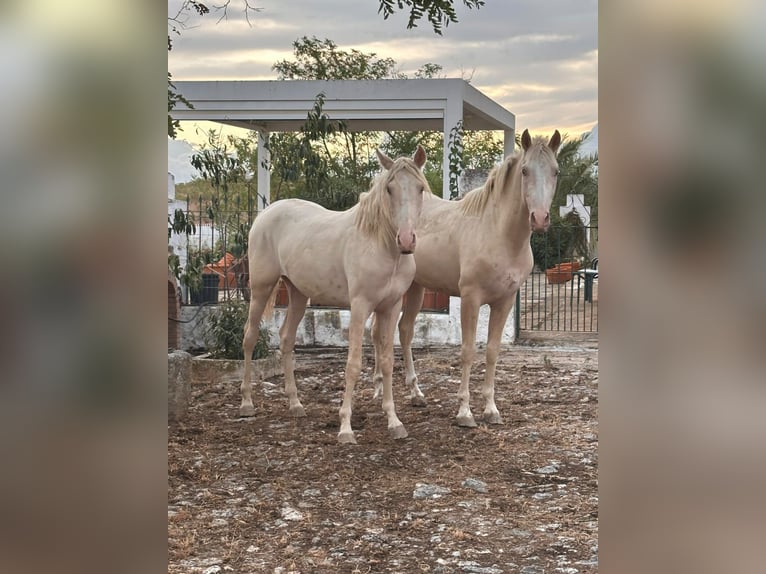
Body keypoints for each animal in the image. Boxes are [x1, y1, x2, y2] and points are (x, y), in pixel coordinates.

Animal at [240, 146, 429, 444]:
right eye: (389, 189)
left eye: (420, 188)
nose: (407, 240)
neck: (381, 245)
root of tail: (265, 214)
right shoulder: (360, 306)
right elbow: (353, 363)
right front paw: (346, 428)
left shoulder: (390, 307)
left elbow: (387, 362)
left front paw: (394, 422)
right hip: (261, 288)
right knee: (249, 336)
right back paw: (247, 403)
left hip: (298, 293)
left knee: (286, 338)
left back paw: (295, 404)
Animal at [372, 129, 561, 427]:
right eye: (525, 171)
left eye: (556, 171)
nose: (540, 219)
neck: (497, 233)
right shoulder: (470, 299)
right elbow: (468, 351)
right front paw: (464, 412)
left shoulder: (505, 301)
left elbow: (492, 351)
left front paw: (491, 409)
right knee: (380, 334)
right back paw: (379, 388)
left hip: (415, 288)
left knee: (404, 331)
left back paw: (416, 393)